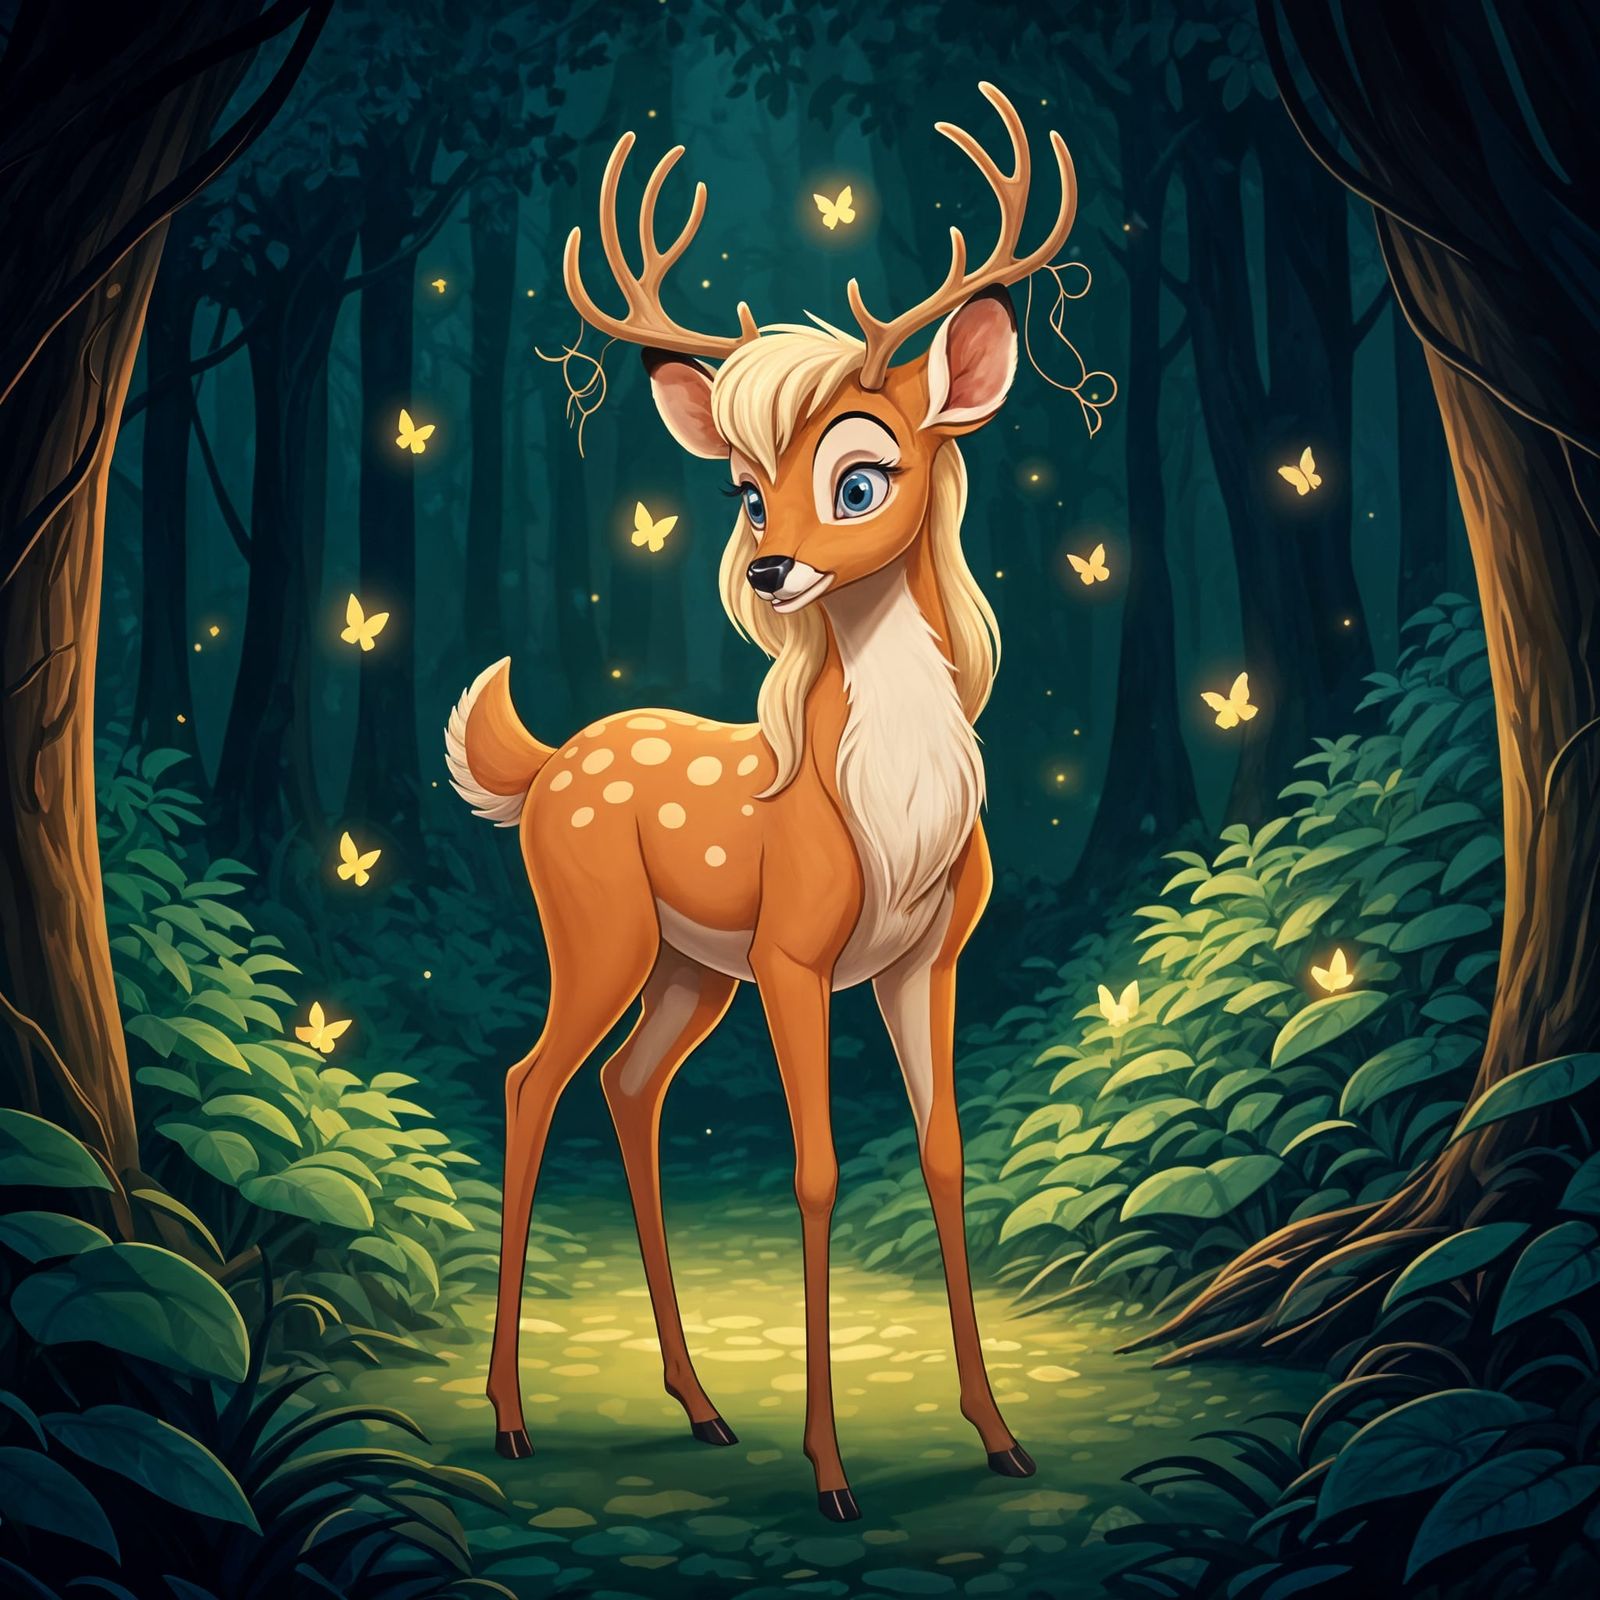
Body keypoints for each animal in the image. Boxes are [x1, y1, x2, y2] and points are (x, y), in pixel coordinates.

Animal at [445, 82, 1077, 1522]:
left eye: (861, 478)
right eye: (744, 492)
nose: (770, 568)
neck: (894, 821)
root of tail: (546, 765)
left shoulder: (926, 958)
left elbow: (945, 1155)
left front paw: (1001, 1435)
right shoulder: (796, 952)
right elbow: (819, 1169)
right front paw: (833, 1472)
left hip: (691, 967)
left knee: (627, 1088)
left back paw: (701, 1405)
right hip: (603, 928)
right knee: (527, 1080)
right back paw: (508, 1416)